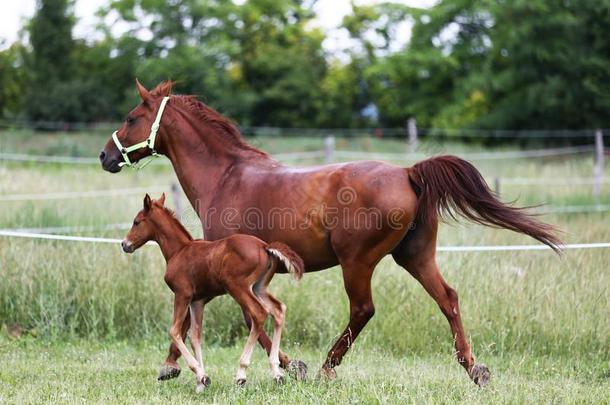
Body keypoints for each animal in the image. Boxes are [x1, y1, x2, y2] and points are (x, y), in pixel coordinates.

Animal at [121, 194, 304, 390]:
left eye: (136, 221)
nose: (124, 244)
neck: (179, 251)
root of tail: (264, 246)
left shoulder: (182, 294)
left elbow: (174, 331)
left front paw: (200, 375)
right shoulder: (197, 301)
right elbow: (195, 336)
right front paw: (201, 382)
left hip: (237, 287)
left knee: (259, 314)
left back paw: (242, 374)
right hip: (259, 287)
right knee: (278, 309)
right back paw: (276, 373)